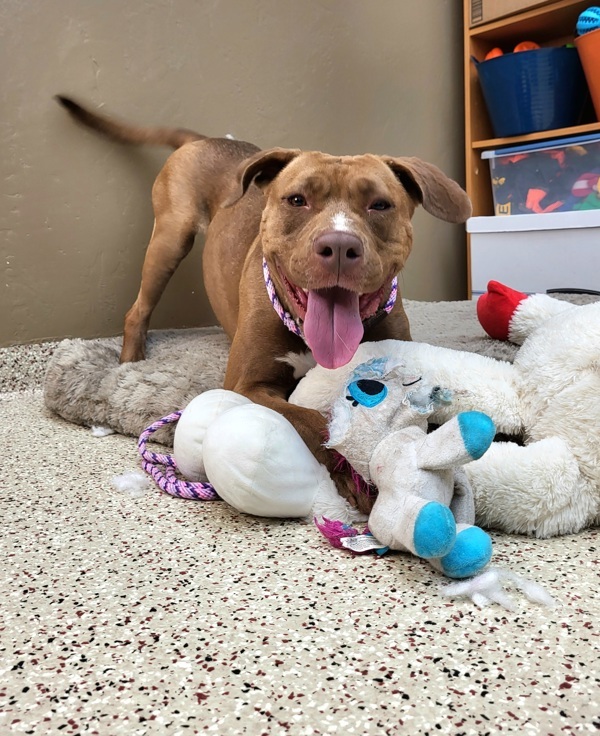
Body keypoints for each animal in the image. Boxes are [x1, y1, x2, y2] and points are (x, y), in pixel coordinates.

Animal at [56, 95, 472, 512]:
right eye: (297, 200)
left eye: (380, 205)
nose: (339, 245)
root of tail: (206, 140)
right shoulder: (249, 386)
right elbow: (314, 421)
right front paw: (356, 472)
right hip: (170, 238)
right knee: (138, 308)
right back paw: (129, 362)